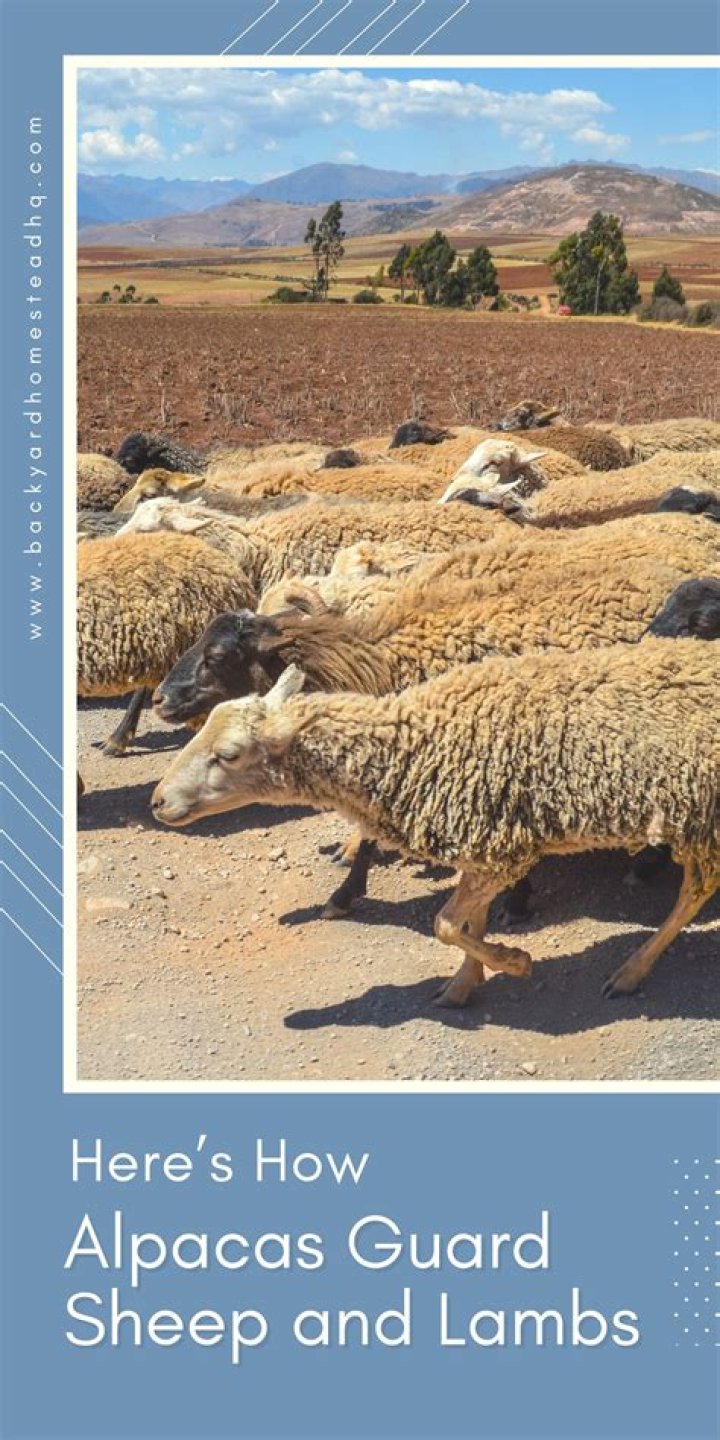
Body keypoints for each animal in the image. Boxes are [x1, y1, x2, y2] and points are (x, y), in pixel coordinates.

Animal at [152, 640, 719, 1006]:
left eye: (229, 754)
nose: (157, 801)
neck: (417, 744)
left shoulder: (504, 850)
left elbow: (445, 924)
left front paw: (513, 961)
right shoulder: (485, 844)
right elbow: (468, 923)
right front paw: (466, 984)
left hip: (700, 817)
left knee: (696, 889)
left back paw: (631, 971)